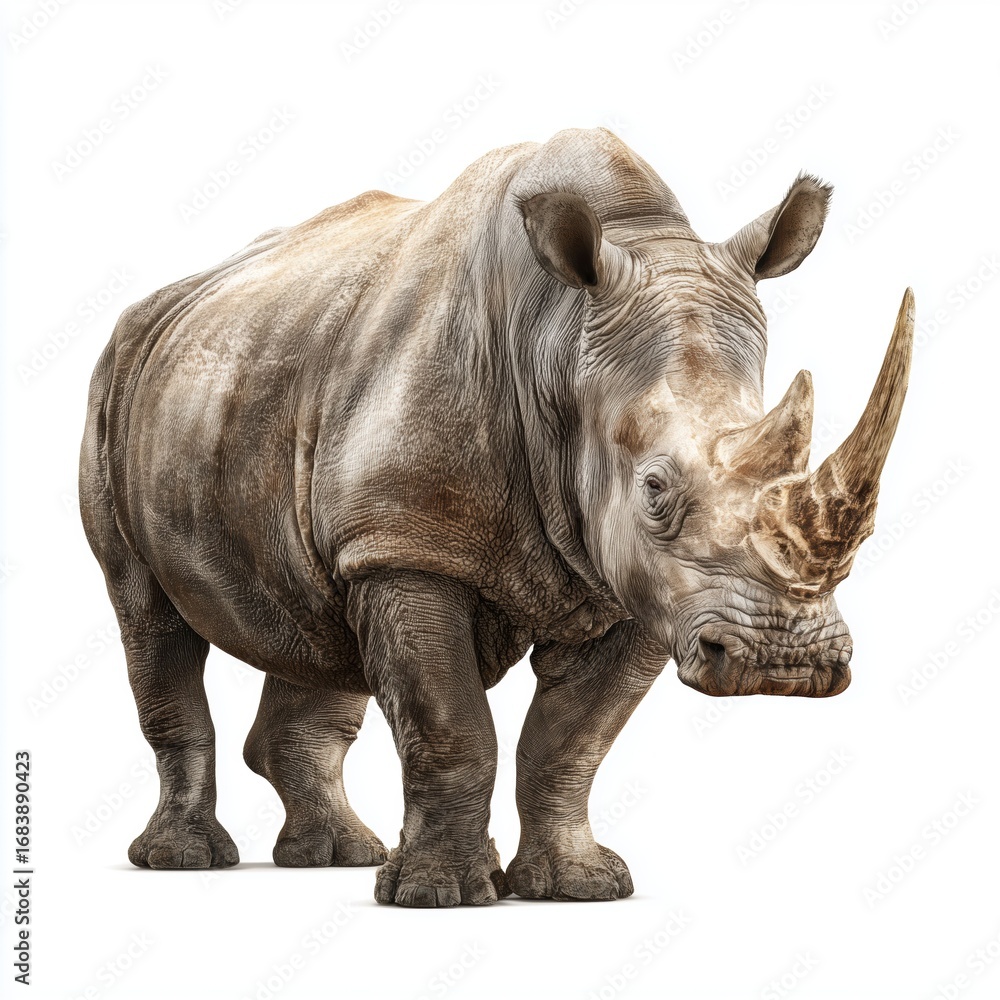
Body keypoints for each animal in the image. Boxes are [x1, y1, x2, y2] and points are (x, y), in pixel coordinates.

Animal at [79, 128, 913, 906]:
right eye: (654, 490)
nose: (784, 660)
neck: (559, 341)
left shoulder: (636, 588)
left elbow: (572, 742)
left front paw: (578, 886)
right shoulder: (410, 544)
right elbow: (451, 726)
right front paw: (435, 895)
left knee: (317, 623)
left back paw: (341, 855)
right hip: (114, 388)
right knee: (147, 614)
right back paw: (186, 859)